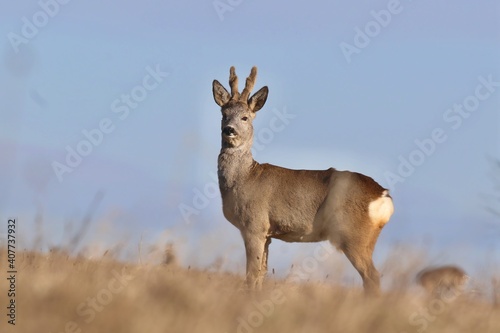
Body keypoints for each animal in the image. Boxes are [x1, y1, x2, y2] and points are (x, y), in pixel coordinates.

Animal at [213, 66, 392, 294]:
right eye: (224, 114)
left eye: (245, 117)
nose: (229, 130)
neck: (244, 178)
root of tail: (383, 195)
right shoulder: (268, 234)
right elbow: (261, 275)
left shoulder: (254, 225)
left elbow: (251, 275)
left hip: (354, 235)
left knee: (372, 277)